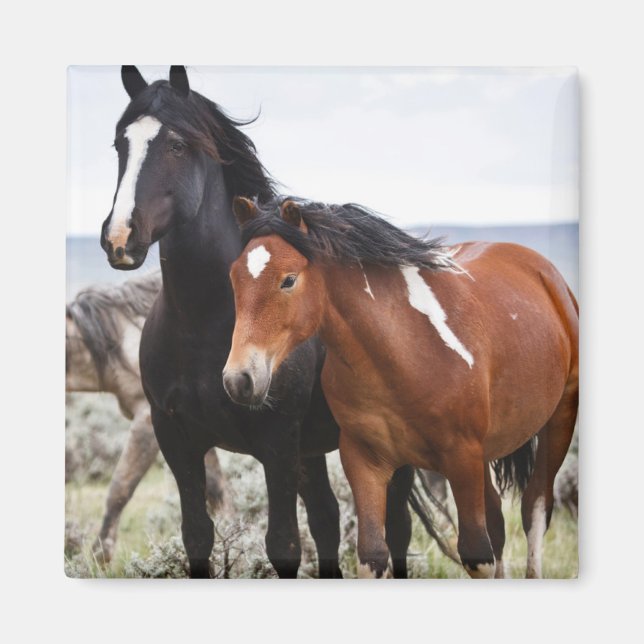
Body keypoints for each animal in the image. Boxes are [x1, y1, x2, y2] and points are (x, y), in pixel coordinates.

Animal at [99, 66, 446, 578]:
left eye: (177, 145)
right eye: (120, 144)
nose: (121, 238)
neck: (205, 325)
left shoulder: (277, 444)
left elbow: (283, 543)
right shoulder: (178, 439)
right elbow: (197, 535)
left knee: (397, 529)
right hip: (314, 451)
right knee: (326, 518)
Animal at [223, 196, 579, 579]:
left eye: (288, 280)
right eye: (234, 277)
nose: (238, 379)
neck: (405, 352)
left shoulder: (462, 458)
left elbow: (477, 554)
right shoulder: (365, 461)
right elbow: (373, 555)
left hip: (558, 420)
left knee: (535, 509)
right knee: (498, 520)